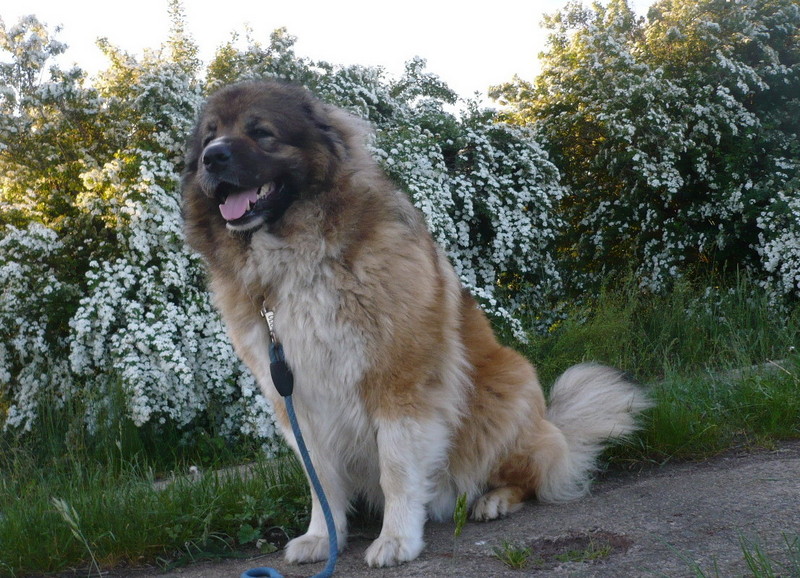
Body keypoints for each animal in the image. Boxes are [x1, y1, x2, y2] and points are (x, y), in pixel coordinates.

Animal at [181, 80, 651, 568]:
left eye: (261, 132)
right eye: (210, 135)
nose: (212, 157)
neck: (297, 263)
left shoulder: (398, 383)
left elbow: (397, 470)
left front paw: (396, 538)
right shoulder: (297, 398)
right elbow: (321, 480)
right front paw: (323, 537)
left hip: (506, 390)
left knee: (534, 473)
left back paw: (495, 499)